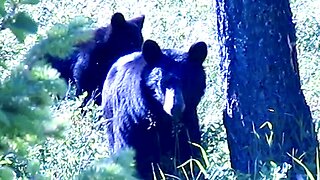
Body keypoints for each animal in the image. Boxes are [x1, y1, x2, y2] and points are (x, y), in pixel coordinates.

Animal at [101, 39, 209, 179]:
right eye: (162, 82)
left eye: (186, 81)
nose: (175, 107)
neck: (160, 116)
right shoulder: (132, 119)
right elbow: (130, 151)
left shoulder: (188, 120)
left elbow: (190, 149)